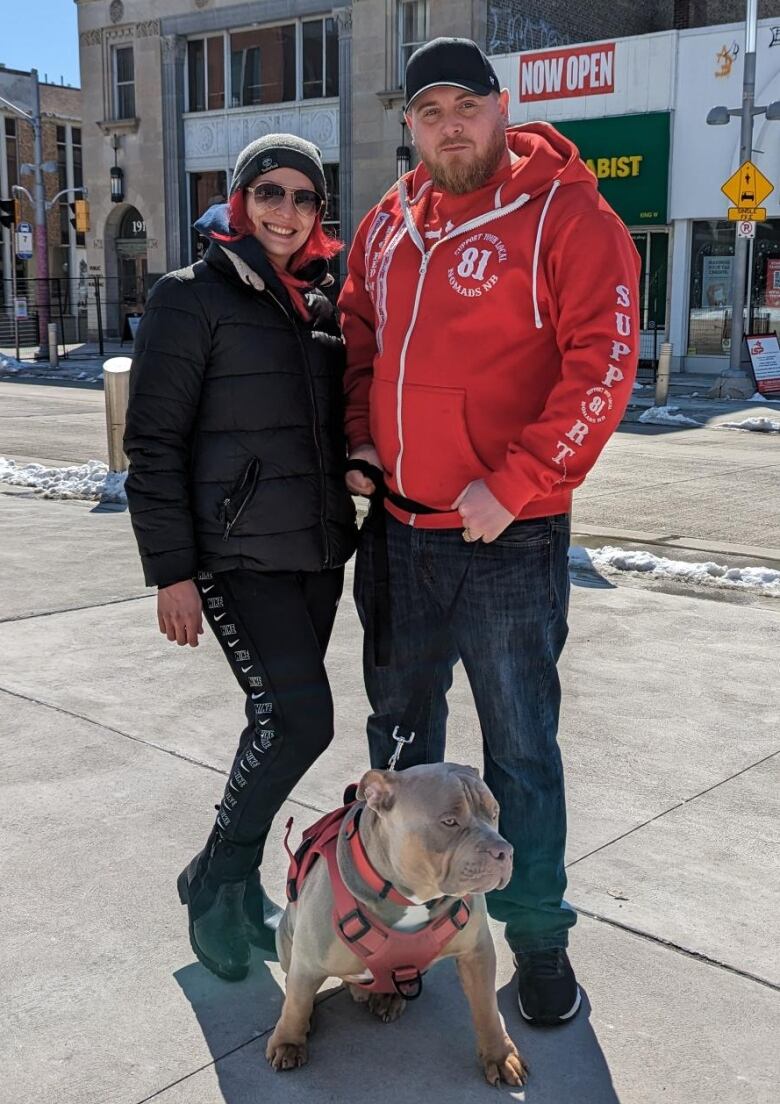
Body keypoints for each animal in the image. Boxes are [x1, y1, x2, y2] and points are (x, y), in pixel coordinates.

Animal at [265, 759, 527, 1086]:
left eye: (494, 812)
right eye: (449, 821)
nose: (504, 851)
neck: (408, 897)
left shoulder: (477, 952)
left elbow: (487, 1007)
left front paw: (499, 1055)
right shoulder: (309, 960)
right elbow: (297, 1003)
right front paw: (288, 1042)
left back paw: (387, 996)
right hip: (286, 937)